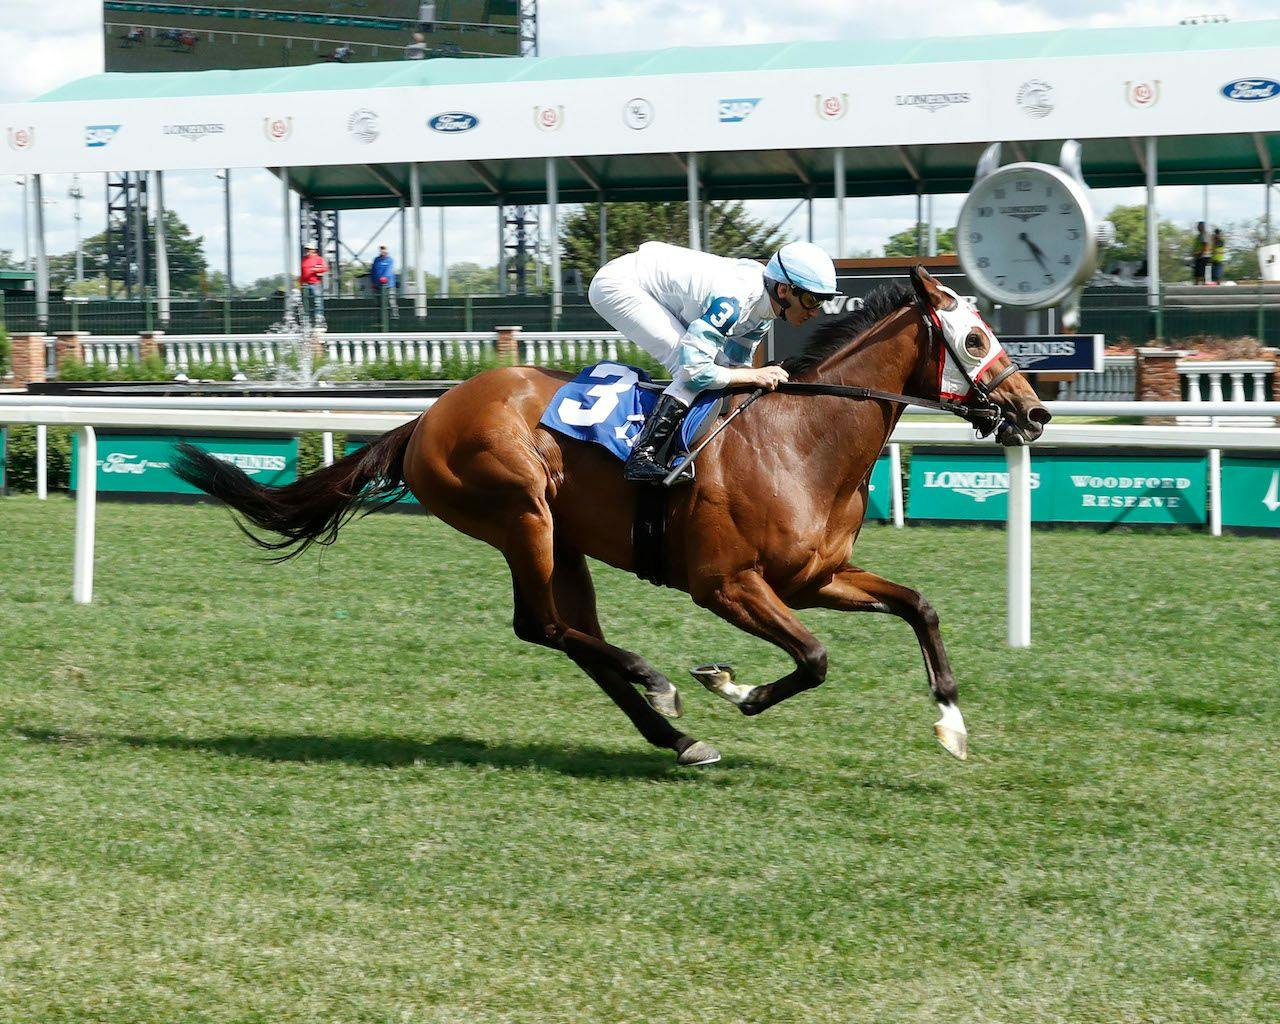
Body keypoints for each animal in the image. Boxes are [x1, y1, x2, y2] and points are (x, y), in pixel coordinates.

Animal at [172, 267, 1049, 762]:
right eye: (974, 338)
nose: (1035, 414)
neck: (804, 440)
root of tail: (425, 417)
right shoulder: (727, 585)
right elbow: (814, 658)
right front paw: (731, 687)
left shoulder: (817, 577)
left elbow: (919, 608)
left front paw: (952, 725)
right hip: (520, 513)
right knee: (545, 626)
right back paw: (659, 687)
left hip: (563, 542)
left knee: (568, 632)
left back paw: (674, 734)